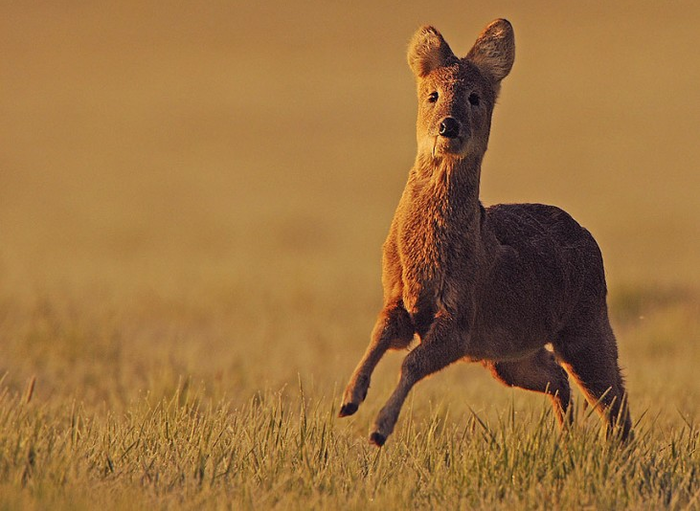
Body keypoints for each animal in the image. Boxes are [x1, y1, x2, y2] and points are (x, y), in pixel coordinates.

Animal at [340, 19, 636, 448]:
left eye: (474, 97)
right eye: (432, 95)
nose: (449, 125)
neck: (424, 253)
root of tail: (588, 237)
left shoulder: (461, 318)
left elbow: (411, 364)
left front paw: (380, 428)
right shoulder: (399, 297)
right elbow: (378, 338)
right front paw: (350, 397)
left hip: (585, 323)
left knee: (613, 397)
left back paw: (614, 452)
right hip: (508, 354)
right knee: (558, 378)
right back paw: (566, 439)